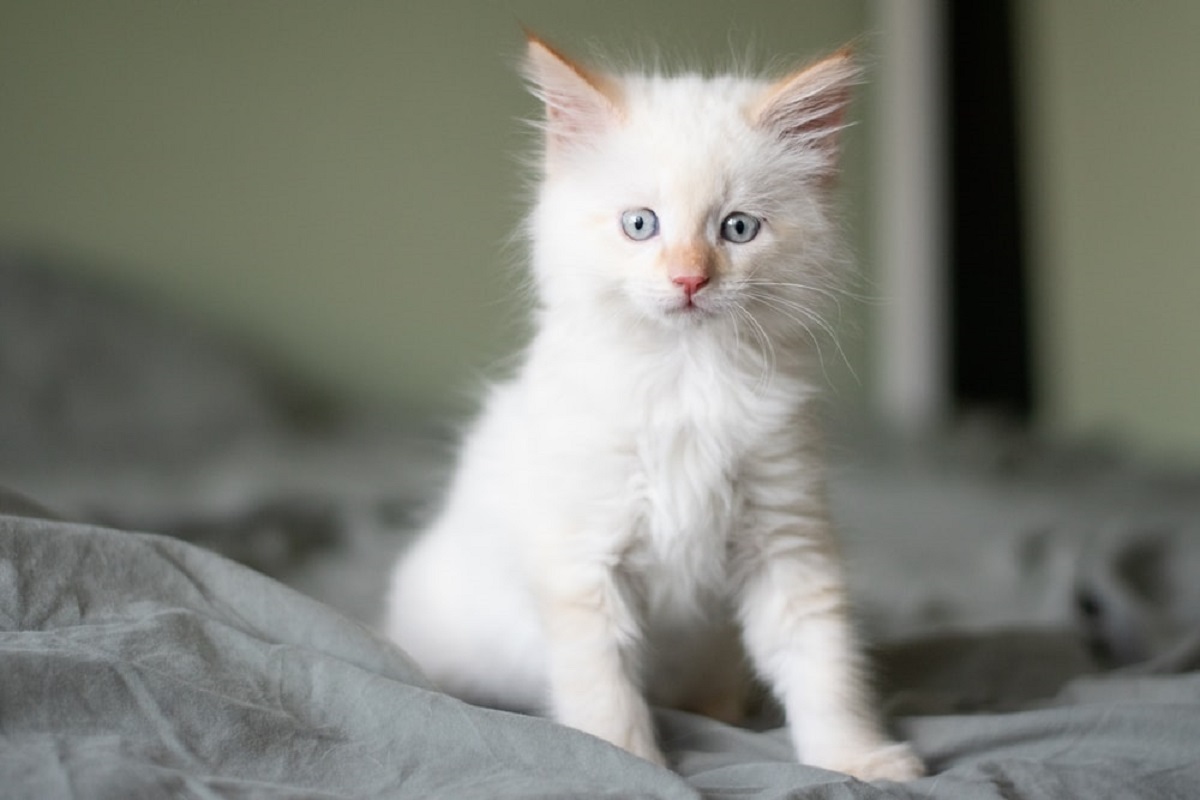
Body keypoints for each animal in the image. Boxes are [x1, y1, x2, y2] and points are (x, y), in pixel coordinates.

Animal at [379, 32, 921, 782]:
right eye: (641, 224)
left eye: (738, 229)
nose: (689, 279)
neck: (687, 378)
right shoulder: (585, 557)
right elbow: (603, 690)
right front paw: (628, 765)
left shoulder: (787, 539)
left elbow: (825, 668)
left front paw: (855, 760)